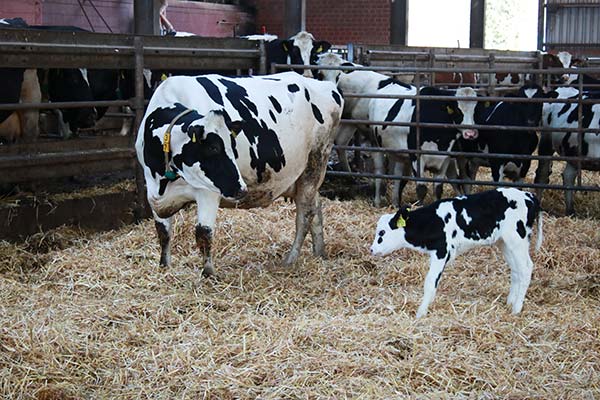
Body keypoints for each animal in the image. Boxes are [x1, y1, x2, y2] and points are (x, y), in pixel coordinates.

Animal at [136, 71, 342, 276]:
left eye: (232, 145)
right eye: (213, 147)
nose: (241, 189)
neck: (163, 178)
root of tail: (325, 85)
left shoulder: (208, 192)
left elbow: (203, 233)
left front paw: (208, 274)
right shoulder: (154, 194)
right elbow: (163, 233)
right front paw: (164, 267)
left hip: (315, 164)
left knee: (305, 215)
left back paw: (290, 260)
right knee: (316, 209)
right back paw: (319, 254)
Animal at [370, 188, 544, 318]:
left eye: (382, 232)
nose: (371, 249)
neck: (434, 221)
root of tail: (529, 195)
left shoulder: (442, 251)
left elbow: (430, 282)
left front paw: (421, 313)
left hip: (518, 241)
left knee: (526, 268)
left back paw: (517, 309)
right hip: (505, 243)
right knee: (516, 271)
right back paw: (510, 303)